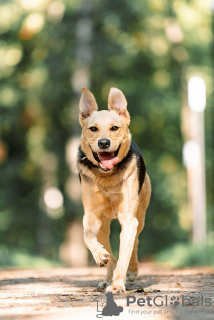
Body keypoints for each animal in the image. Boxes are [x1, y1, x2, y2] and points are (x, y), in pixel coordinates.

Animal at [77, 86, 150, 294]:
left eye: (114, 128)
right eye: (93, 128)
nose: (103, 143)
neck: (106, 177)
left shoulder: (128, 217)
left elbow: (125, 251)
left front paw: (118, 284)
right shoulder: (92, 215)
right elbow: (87, 236)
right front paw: (101, 257)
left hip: (140, 215)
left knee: (135, 242)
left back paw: (130, 271)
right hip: (104, 224)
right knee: (107, 245)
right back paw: (106, 275)